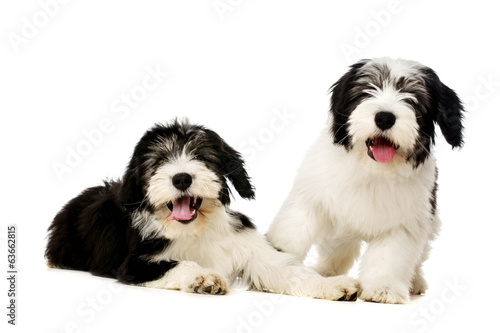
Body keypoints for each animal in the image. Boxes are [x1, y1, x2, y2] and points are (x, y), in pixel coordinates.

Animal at [46, 120, 360, 300]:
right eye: (158, 161)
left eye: (201, 156)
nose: (181, 178)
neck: (195, 230)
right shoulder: (136, 263)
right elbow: (180, 263)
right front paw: (203, 278)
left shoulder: (251, 250)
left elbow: (289, 270)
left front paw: (332, 285)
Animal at [266, 57, 464, 304]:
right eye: (367, 90)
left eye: (412, 98)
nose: (385, 117)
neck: (373, 170)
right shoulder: (311, 198)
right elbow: (293, 232)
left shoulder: (405, 221)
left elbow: (390, 255)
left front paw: (383, 287)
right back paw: (326, 271)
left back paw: (415, 281)